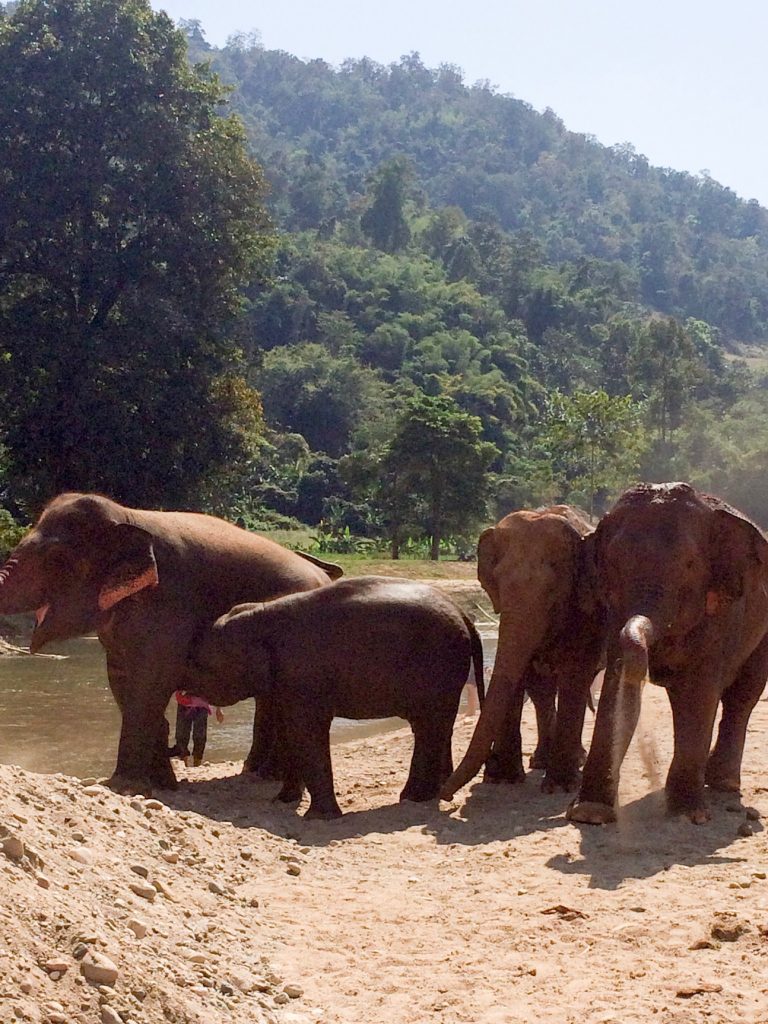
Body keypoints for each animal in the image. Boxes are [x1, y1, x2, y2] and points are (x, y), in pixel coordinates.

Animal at [0, 491, 339, 786]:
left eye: (57, 558)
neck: (128, 515)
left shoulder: (169, 605)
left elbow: (151, 681)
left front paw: (124, 786)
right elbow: (123, 680)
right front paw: (161, 784)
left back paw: (269, 776)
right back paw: (257, 773)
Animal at [185, 581, 483, 819]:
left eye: (201, 665)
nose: (185, 692)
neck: (262, 613)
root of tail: (465, 615)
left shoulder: (304, 675)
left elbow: (306, 732)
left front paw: (318, 817)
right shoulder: (286, 681)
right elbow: (289, 732)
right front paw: (282, 801)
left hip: (439, 667)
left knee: (429, 727)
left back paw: (415, 798)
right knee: (433, 727)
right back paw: (425, 794)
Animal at [442, 503, 606, 798]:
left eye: (553, 591)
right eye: (496, 583)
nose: (445, 794)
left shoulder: (587, 609)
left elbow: (575, 675)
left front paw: (560, 787)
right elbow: (518, 673)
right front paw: (503, 779)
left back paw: (574, 761)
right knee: (542, 690)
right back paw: (541, 761)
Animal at [569, 479, 768, 823]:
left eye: (688, 564)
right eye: (613, 565)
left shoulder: (721, 614)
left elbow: (699, 692)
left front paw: (690, 816)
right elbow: (617, 683)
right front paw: (589, 813)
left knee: (742, 696)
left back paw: (723, 785)